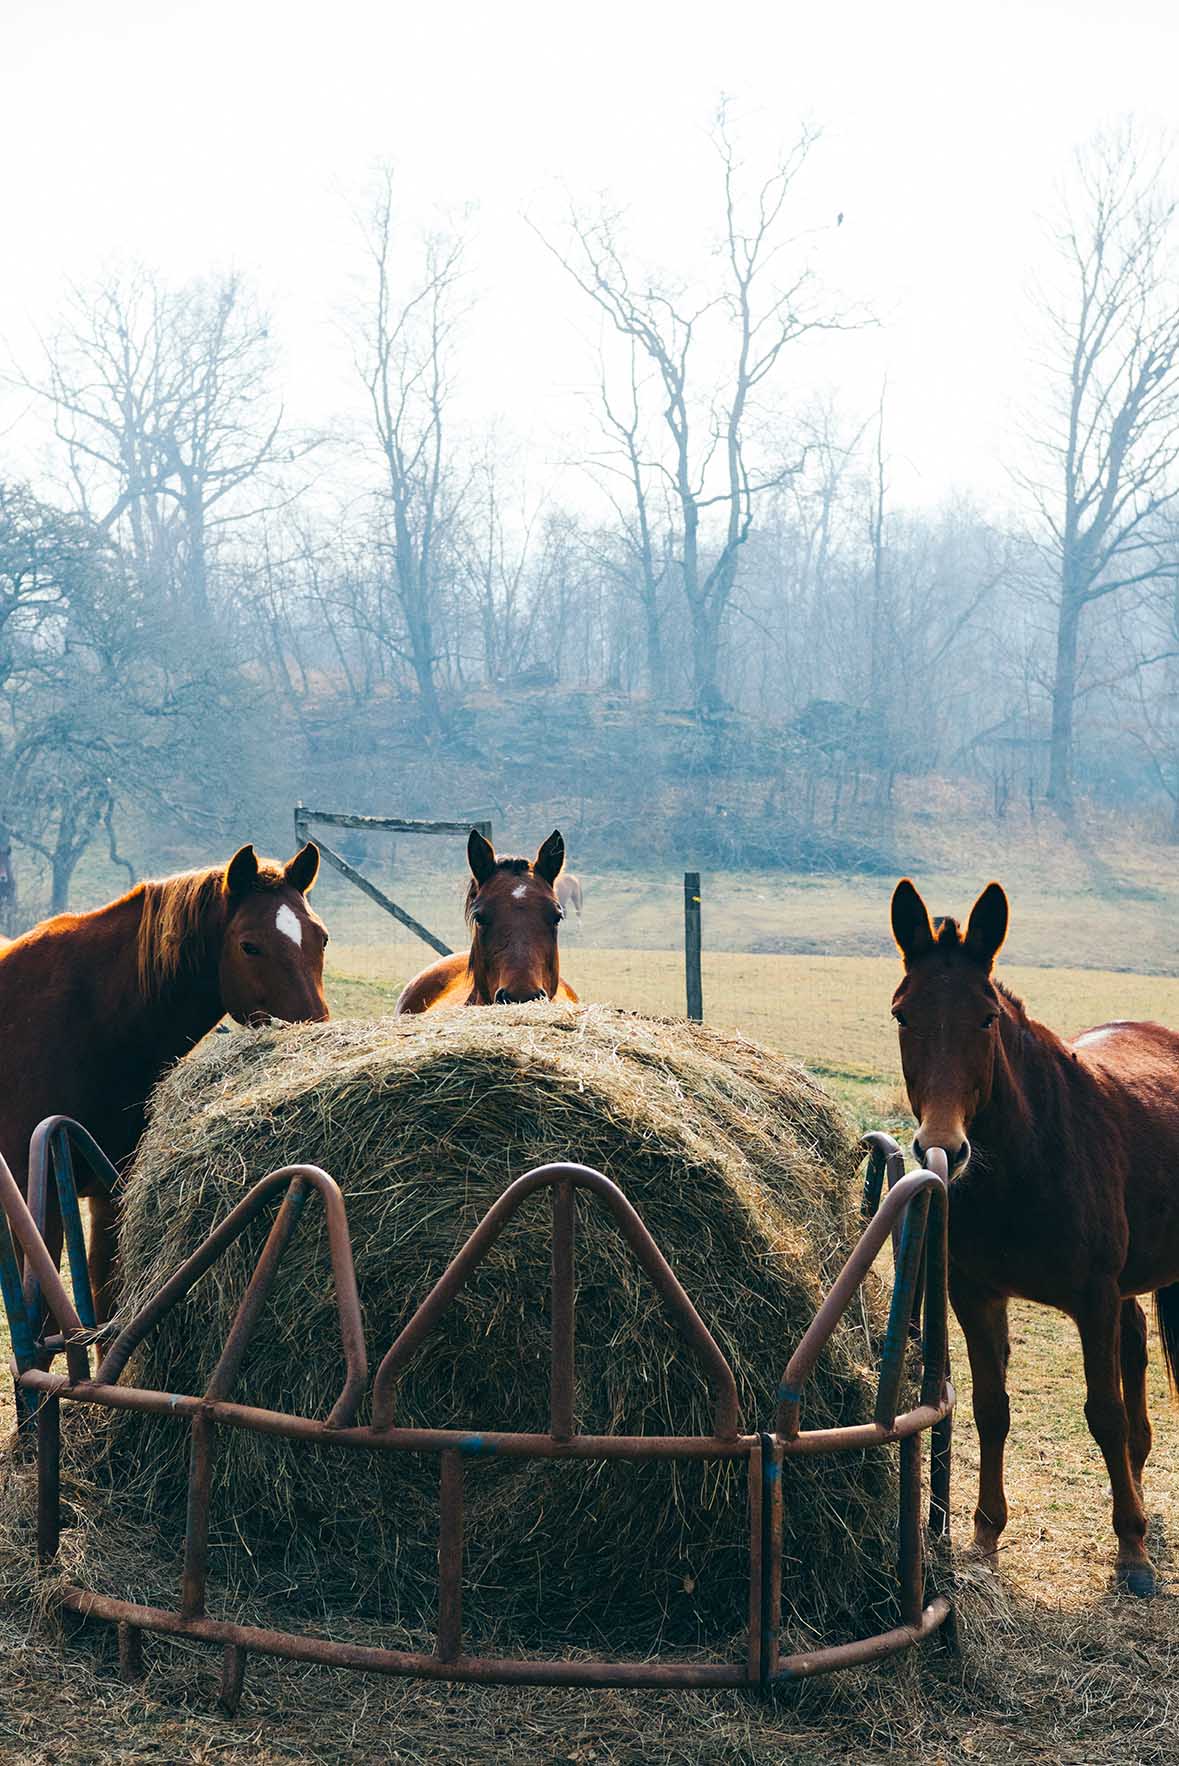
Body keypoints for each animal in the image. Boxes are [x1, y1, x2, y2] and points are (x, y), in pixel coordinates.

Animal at [0, 844, 326, 1328]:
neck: (92, 1020)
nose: (313, 1029)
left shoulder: (112, 1194)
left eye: (320, 938)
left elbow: (109, 1304)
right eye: (250, 946)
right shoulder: (36, 1197)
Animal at [889, 883, 1179, 1603]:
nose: (943, 1148)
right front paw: (984, 1539)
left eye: (987, 1019)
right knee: (1134, 1347)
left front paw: (1132, 1552)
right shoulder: (975, 1296)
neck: (1026, 1160)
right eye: (902, 1016)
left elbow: (1102, 1411)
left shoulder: (1092, 1298)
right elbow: (991, 1408)